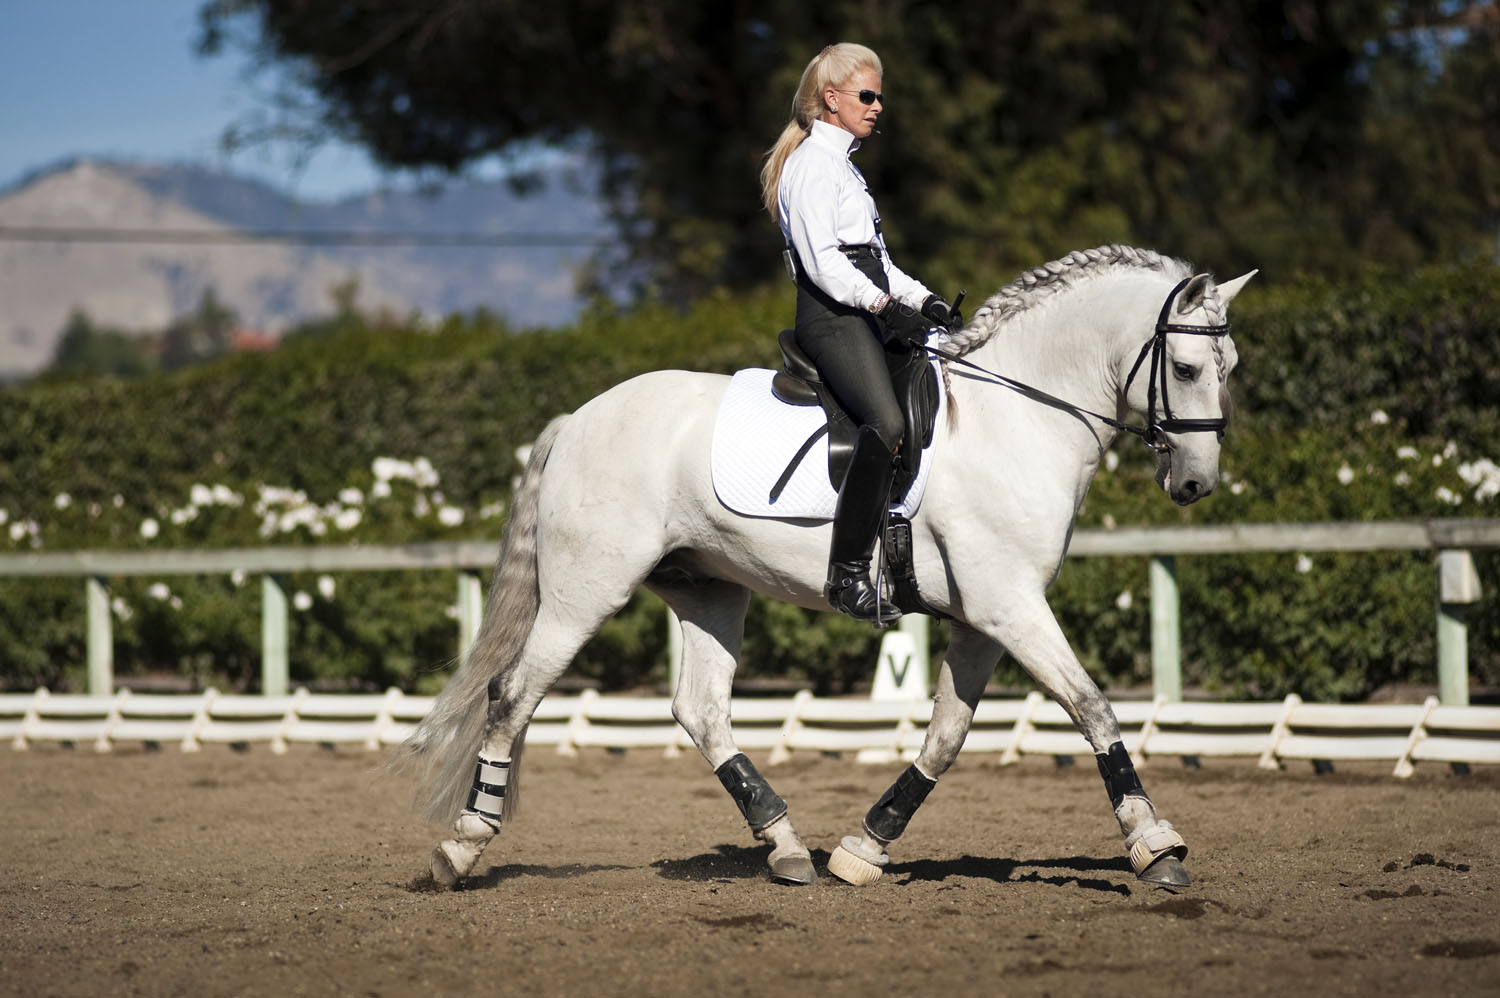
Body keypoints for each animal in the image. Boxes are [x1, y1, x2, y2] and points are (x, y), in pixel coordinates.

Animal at [399, 244, 1254, 888]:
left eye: (1233, 366)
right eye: (1185, 368)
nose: (1196, 484)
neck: (1020, 415)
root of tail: (578, 416)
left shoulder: (985, 618)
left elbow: (947, 735)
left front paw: (865, 847)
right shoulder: (1009, 606)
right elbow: (1092, 707)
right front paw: (1155, 846)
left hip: (708, 589)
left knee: (700, 710)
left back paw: (784, 847)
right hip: (587, 590)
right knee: (514, 694)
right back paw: (462, 844)